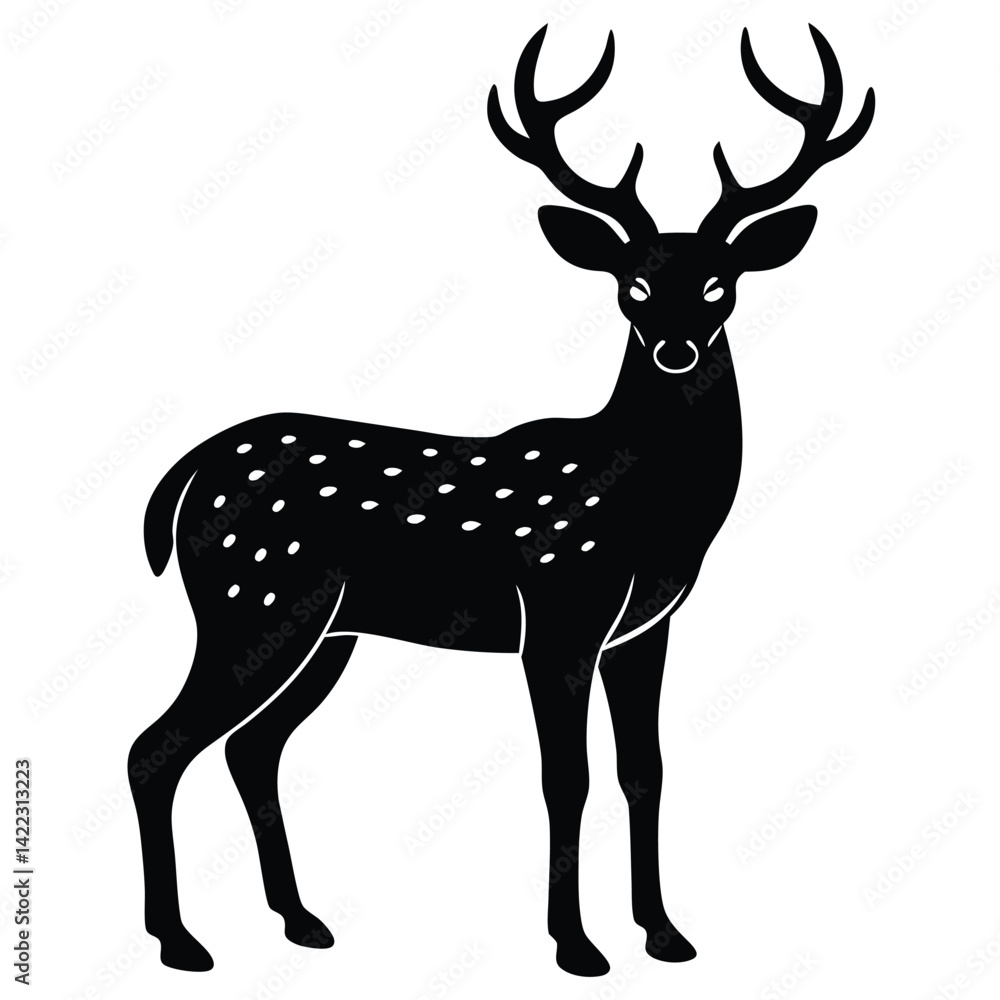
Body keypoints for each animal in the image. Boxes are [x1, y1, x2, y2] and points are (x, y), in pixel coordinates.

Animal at [128, 23, 873, 977]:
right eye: (630, 285)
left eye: (721, 283)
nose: (673, 349)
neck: (651, 510)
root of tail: (186, 473)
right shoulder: (559, 607)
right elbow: (568, 777)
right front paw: (577, 947)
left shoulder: (647, 626)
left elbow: (645, 770)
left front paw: (666, 935)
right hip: (248, 598)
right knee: (158, 747)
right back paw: (181, 941)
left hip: (323, 631)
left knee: (251, 748)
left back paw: (301, 920)